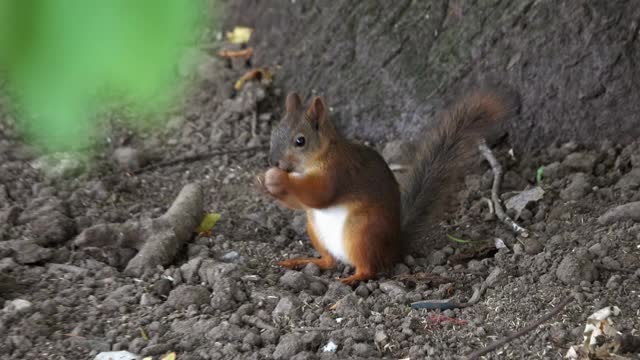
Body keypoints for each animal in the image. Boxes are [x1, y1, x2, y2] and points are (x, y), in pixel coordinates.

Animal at [258, 90, 512, 284]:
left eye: (300, 141)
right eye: (273, 133)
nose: (273, 161)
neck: (318, 156)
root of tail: (394, 246)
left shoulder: (339, 172)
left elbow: (320, 195)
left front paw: (276, 179)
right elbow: (300, 203)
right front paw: (265, 182)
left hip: (361, 231)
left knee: (369, 269)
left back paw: (351, 279)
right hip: (315, 230)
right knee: (329, 261)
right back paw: (303, 261)